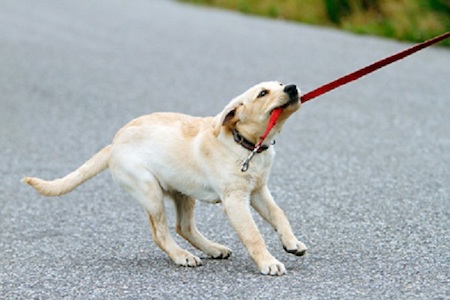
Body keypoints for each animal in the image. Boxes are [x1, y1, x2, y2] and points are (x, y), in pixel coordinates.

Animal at [23, 81, 306, 276]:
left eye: (281, 84)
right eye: (262, 93)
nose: (292, 87)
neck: (247, 146)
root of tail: (114, 143)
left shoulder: (258, 190)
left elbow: (279, 214)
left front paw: (292, 243)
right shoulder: (235, 200)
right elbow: (252, 234)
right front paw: (268, 263)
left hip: (184, 191)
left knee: (184, 227)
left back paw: (213, 249)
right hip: (150, 190)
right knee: (160, 232)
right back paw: (182, 256)